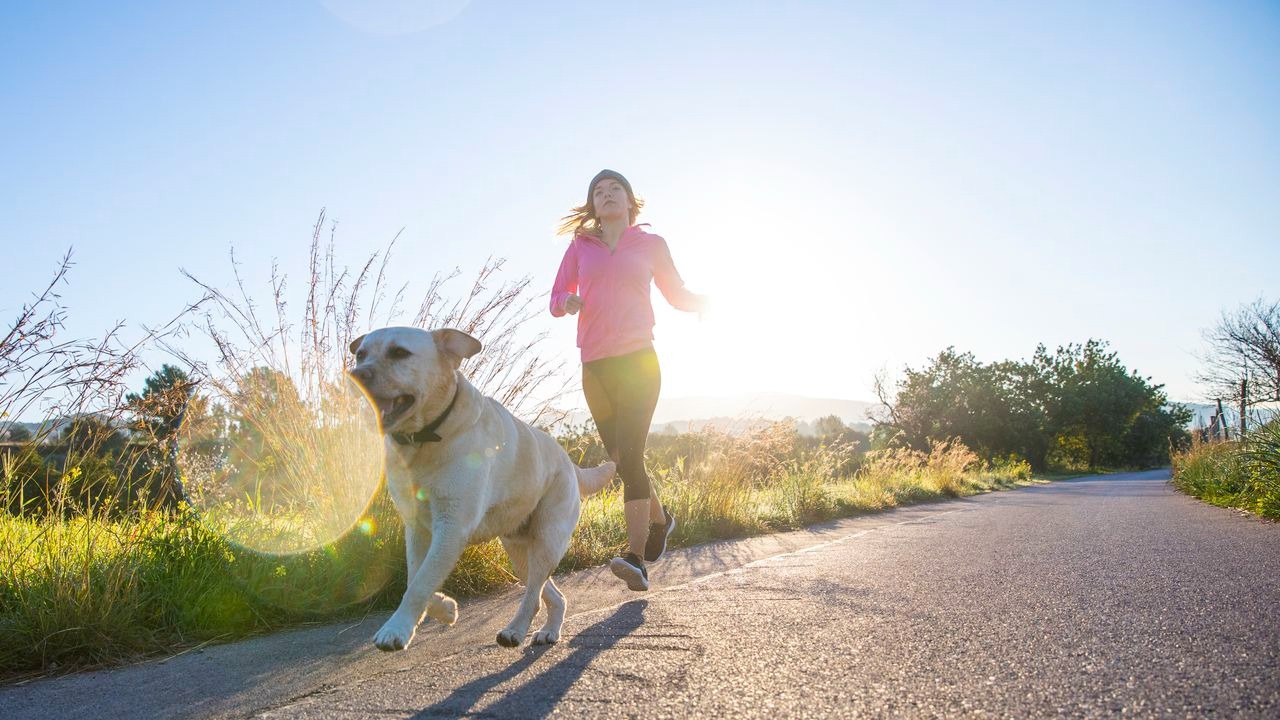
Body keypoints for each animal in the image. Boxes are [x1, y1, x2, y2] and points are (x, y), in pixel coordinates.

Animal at [345, 326, 614, 650]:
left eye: (399, 352)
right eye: (361, 354)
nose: (355, 375)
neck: (425, 438)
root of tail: (570, 462)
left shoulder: (452, 526)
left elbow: (420, 582)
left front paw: (396, 629)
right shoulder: (418, 527)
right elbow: (416, 578)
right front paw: (446, 609)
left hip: (547, 541)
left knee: (534, 595)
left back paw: (515, 630)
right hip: (519, 550)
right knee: (550, 594)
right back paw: (549, 630)